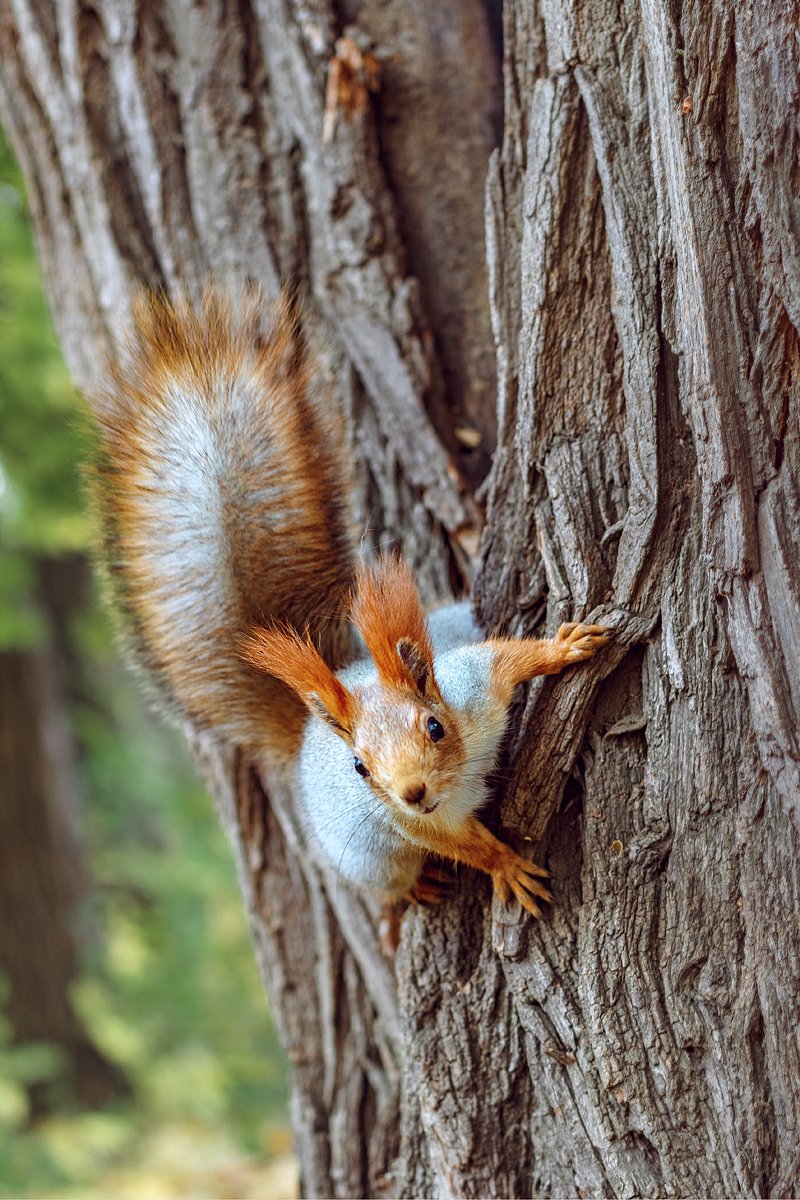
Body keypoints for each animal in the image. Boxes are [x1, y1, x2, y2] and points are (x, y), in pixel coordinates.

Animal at [92, 288, 606, 916]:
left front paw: (566, 647)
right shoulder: (416, 823)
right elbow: (461, 844)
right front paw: (505, 865)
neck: (457, 773)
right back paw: (415, 888)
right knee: (392, 877)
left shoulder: (472, 685)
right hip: (369, 857)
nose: (412, 791)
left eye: (434, 726)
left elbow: (509, 658)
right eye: (359, 768)